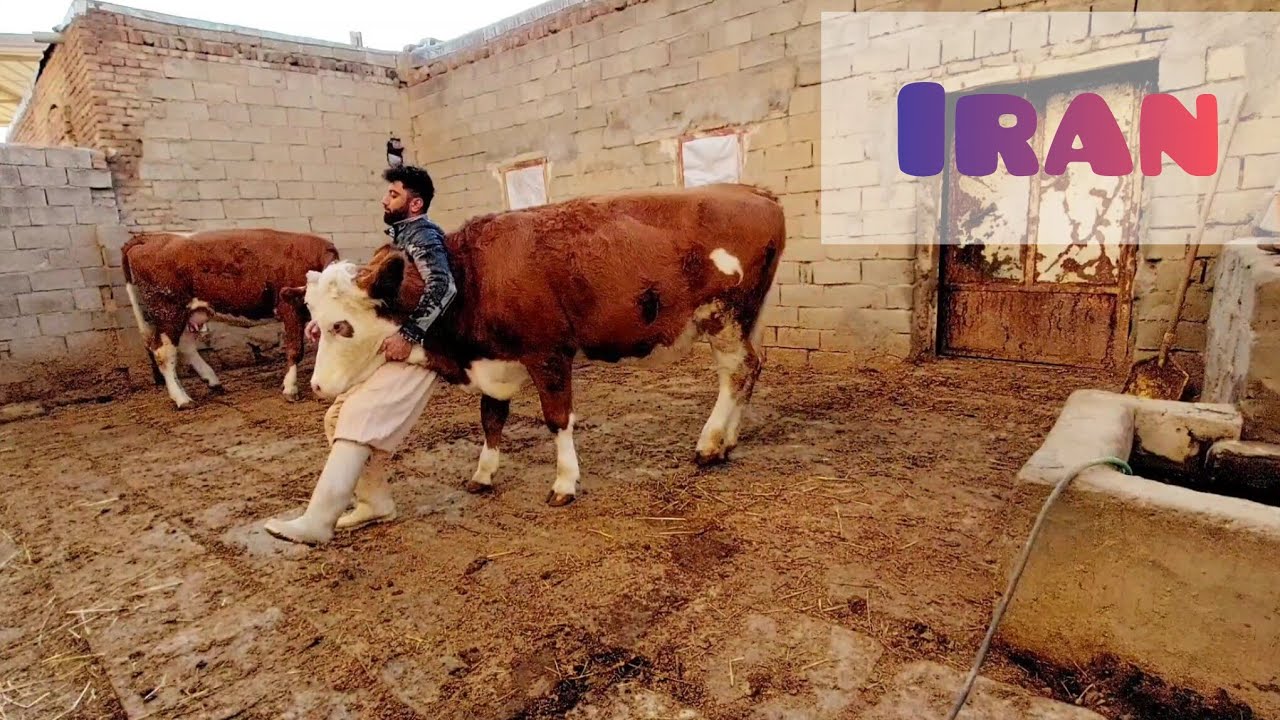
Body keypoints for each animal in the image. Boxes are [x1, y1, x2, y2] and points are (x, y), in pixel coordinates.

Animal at [122, 228, 340, 409]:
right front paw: (290, 389)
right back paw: (182, 399)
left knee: (185, 346)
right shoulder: (290, 309)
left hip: (192, 312)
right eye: (310, 302)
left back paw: (212, 381)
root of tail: (151, 237)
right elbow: (295, 350)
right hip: (167, 311)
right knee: (164, 353)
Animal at [289, 182, 785, 506]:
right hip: (745, 321)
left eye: (342, 326)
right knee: (750, 369)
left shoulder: (549, 355)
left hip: (724, 317)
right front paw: (483, 474)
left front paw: (564, 483)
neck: (473, 277)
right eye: (315, 321)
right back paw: (728, 440)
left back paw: (710, 444)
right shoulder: (493, 362)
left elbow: (557, 419)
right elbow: (491, 419)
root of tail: (752, 192)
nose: (317, 387)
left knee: (736, 372)